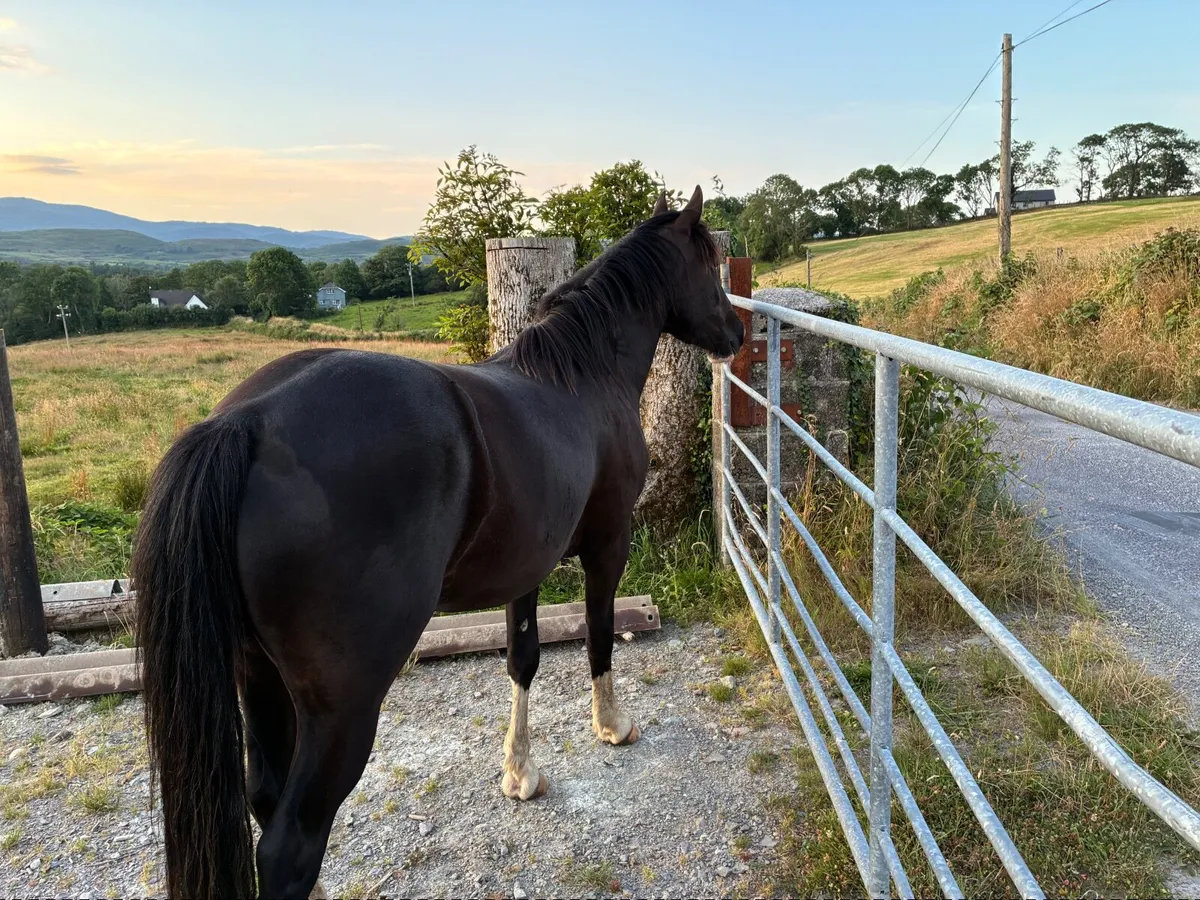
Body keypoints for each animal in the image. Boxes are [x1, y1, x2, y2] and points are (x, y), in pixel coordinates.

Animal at [133, 185, 745, 899]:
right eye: (709, 264)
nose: (736, 334)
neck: (584, 377)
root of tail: (248, 422)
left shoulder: (524, 568)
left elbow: (523, 660)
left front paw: (519, 773)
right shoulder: (607, 546)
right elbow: (597, 638)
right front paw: (612, 726)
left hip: (256, 676)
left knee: (265, 799)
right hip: (341, 708)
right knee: (291, 844)